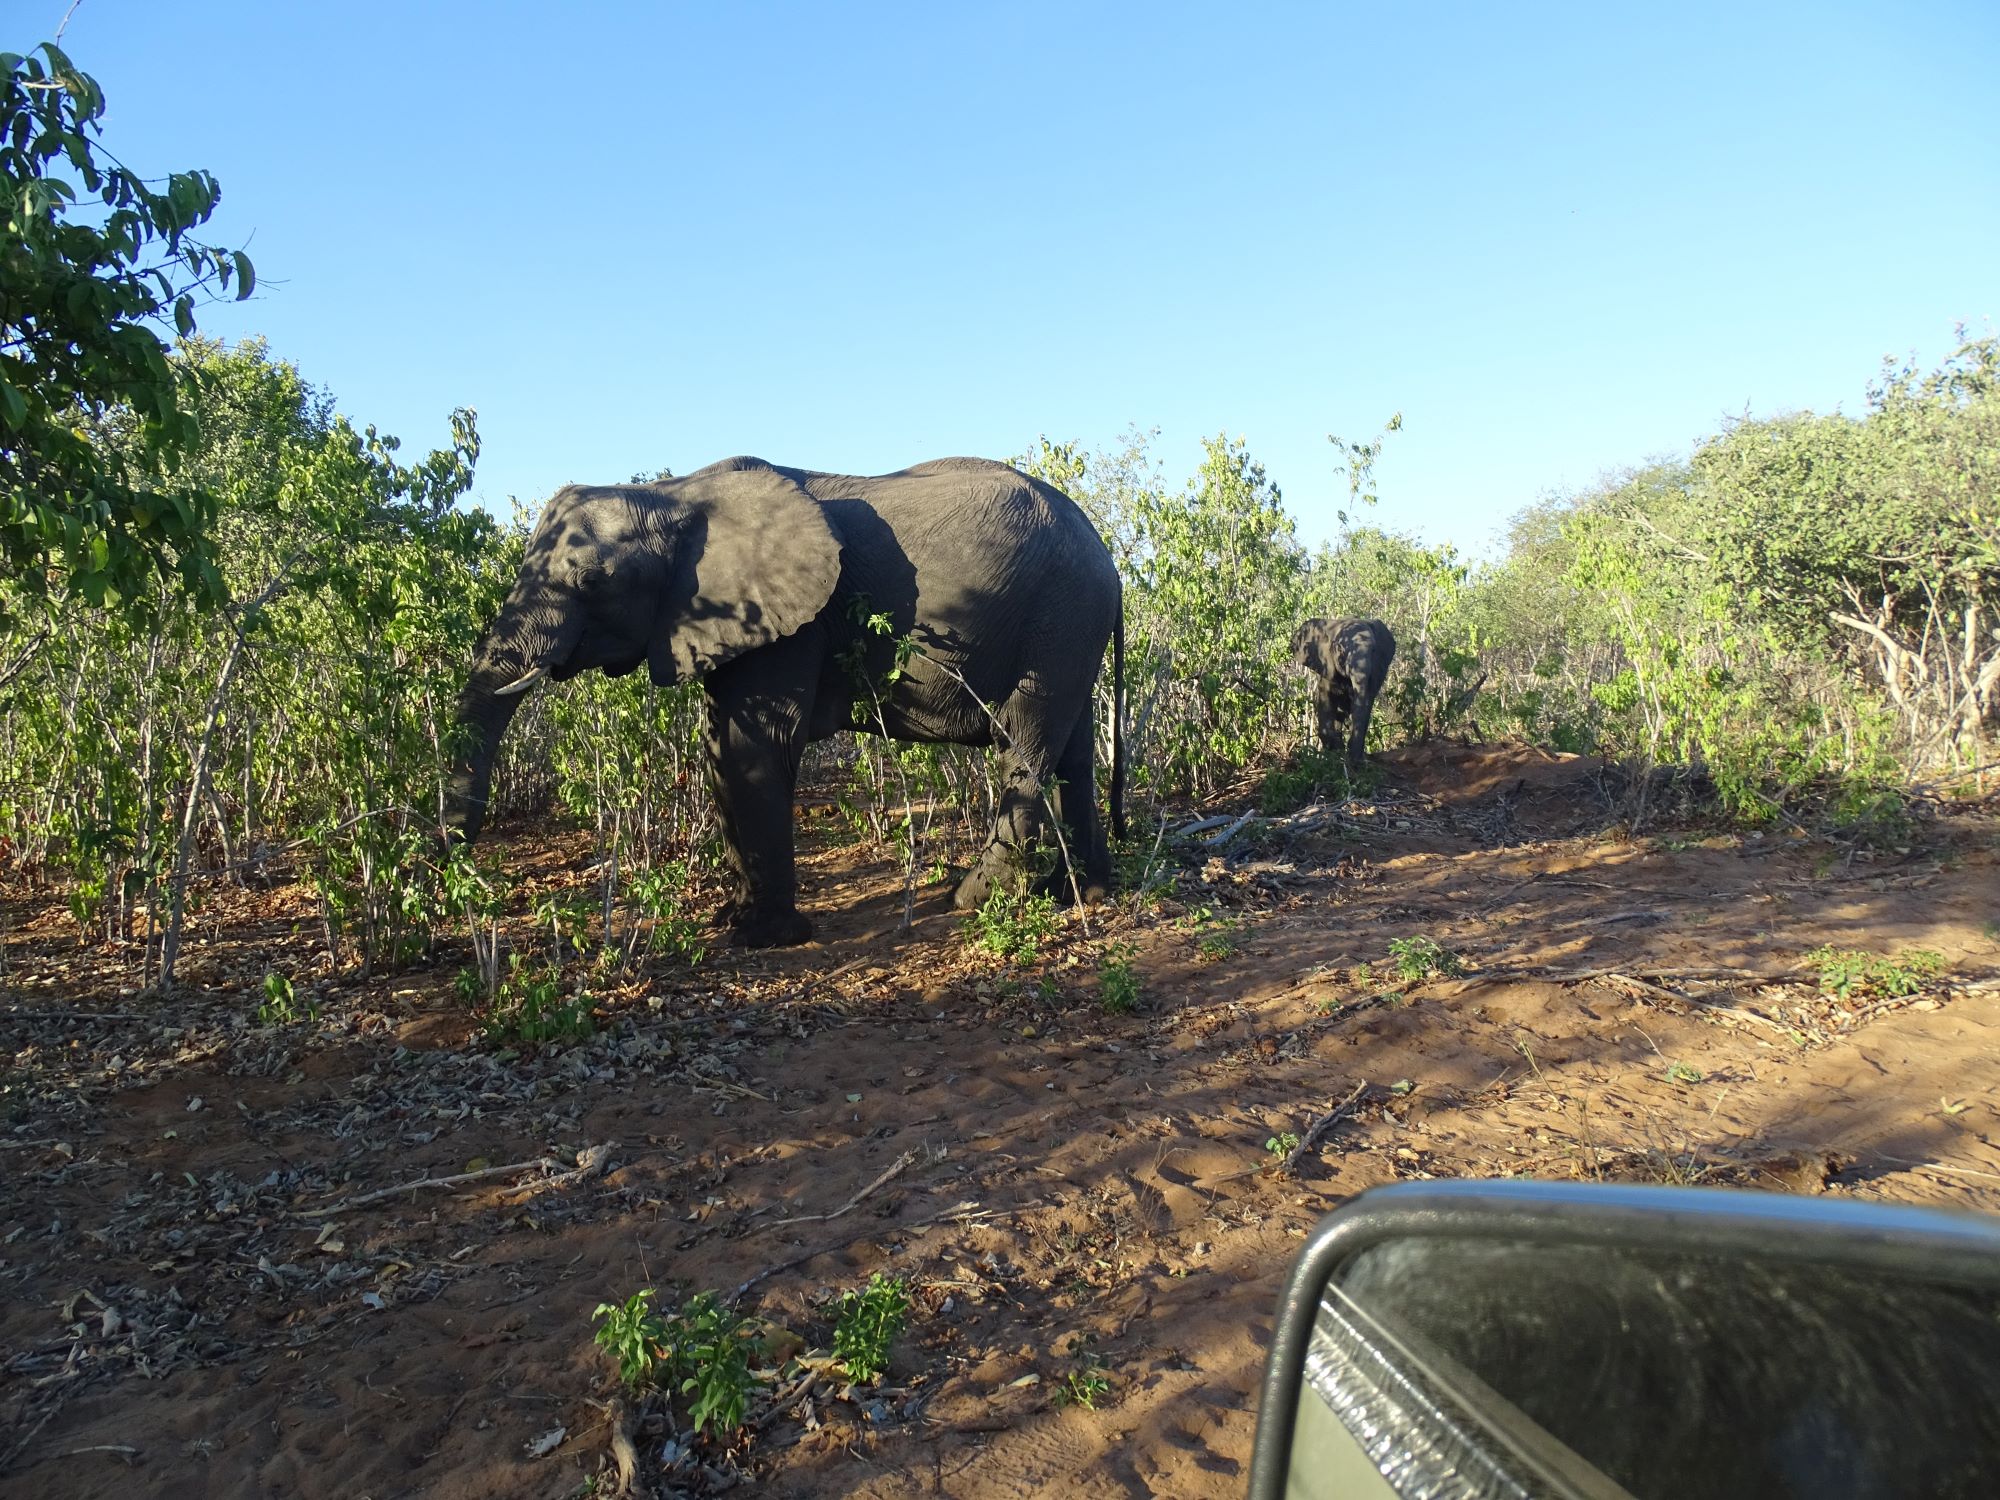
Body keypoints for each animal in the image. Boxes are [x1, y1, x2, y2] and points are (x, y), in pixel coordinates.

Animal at [444, 458, 1120, 952]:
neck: (675, 496)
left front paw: (764, 938)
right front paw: (733, 918)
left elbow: (754, 750)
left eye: (591, 582)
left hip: (1059, 618)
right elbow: (720, 748)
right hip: (1070, 625)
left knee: (1025, 742)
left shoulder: (793, 623)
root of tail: (1106, 555)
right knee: (1075, 752)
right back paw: (1080, 892)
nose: (461, 866)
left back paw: (970, 899)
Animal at [1288, 616, 1400, 768]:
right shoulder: (1326, 667)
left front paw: (1350, 754)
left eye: (1373, 651)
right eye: (1340, 650)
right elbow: (1326, 701)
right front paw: (1336, 750)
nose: (1355, 761)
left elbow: (1365, 704)